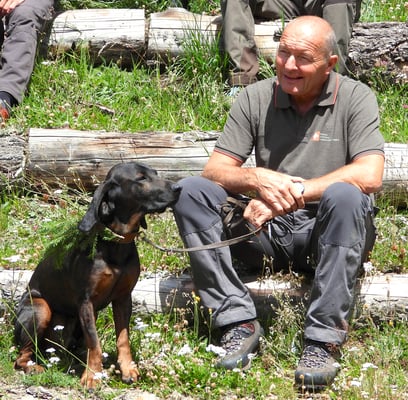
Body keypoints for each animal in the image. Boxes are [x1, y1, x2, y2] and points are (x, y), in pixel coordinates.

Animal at [14, 162, 181, 389]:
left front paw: (127, 369)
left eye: (155, 173)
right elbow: (94, 341)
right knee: (21, 357)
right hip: (40, 307)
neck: (117, 241)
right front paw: (92, 375)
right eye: (141, 178)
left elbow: (123, 338)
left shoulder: (123, 298)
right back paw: (33, 367)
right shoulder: (86, 301)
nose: (178, 188)